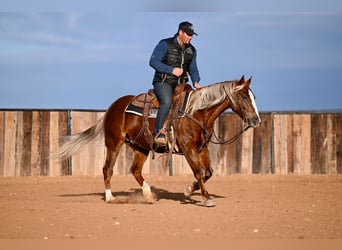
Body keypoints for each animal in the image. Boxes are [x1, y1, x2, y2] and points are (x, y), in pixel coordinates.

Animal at [56, 74, 260, 207]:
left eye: (253, 96)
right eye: (243, 96)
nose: (256, 120)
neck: (196, 112)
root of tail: (113, 107)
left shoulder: (202, 148)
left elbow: (208, 172)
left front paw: (188, 190)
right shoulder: (188, 148)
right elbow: (200, 172)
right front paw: (207, 198)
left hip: (141, 147)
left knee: (135, 170)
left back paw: (148, 194)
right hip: (114, 143)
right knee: (108, 169)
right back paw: (110, 198)